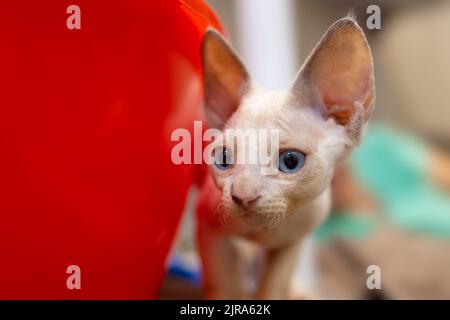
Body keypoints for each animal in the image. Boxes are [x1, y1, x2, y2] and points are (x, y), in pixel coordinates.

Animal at [199, 16, 374, 298]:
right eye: (223, 158)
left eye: (290, 161)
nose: (243, 196)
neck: (267, 231)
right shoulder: (209, 231)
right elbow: (226, 284)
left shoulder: (291, 245)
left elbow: (272, 286)